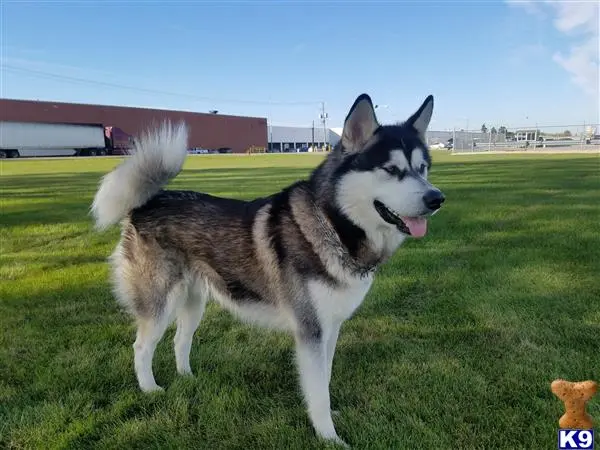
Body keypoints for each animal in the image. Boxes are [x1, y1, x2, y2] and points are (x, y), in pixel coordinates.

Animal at [90, 93, 446, 444]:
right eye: (391, 169)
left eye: (423, 168)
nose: (437, 198)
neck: (333, 225)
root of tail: (146, 203)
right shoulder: (310, 331)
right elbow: (318, 391)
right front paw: (329, 437)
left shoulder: (330, 329)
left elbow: (326, 379)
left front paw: (331, 418)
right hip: (160, 303)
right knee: (141, 347)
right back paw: (150, 389)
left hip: (194, 302)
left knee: (180, 340)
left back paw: (187, 378)